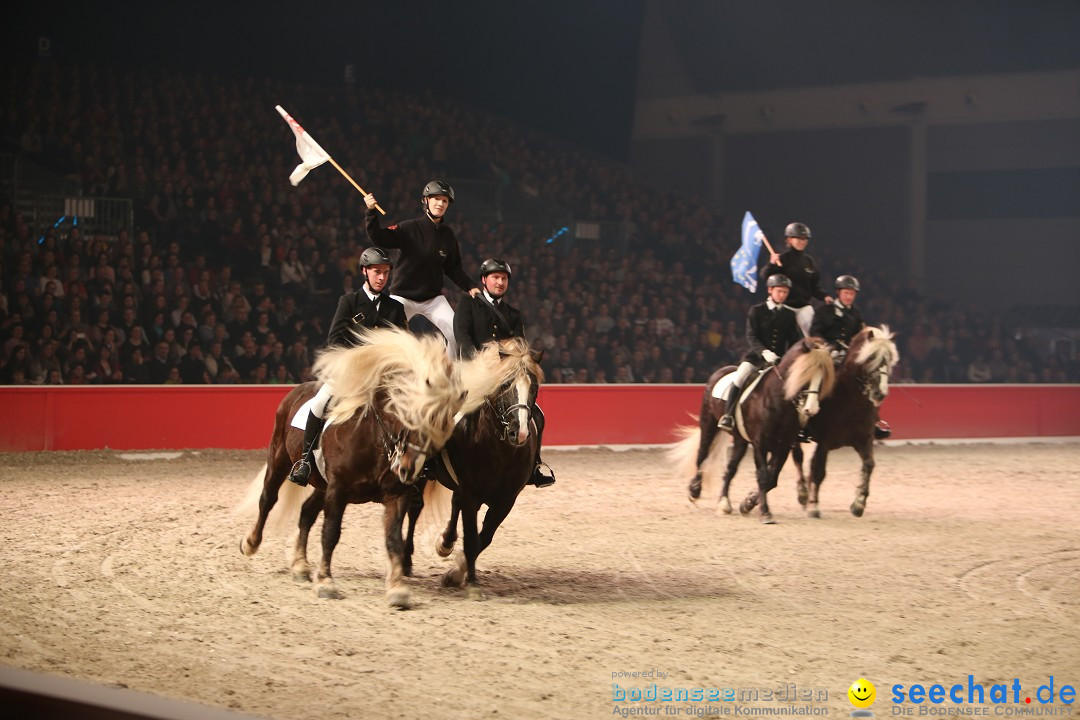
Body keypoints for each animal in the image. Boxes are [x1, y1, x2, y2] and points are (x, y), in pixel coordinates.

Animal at [237, 328, 464, 608]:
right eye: (410, 415)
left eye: (446, 425)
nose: (409, 470)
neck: (375, 436)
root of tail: (296, 391)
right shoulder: (339, 489)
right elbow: (331, 533)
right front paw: (325, 583)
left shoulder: (395, 494)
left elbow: (394, 539)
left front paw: (398, 589)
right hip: (279, 459)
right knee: (268, 500)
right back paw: (251, 543)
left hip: (321, 485)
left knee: (306, 512)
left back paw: (300, 566)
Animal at [669, 338, 838, 524]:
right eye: (804, 373)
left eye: (823, 378)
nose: (811, 409)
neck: (777, 400)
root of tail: (720, 371)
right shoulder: (760, 444)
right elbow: (763, 476)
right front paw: (764, 513)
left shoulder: (783, 446)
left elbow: (772, 478)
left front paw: (748, 504)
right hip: (709, 423)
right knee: (702, 454)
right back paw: (695, 491)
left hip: (740, 440)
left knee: (731, 468)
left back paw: (724, 503)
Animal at [790, 325, 898, 518]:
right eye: (871, 357)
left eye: (889, 359)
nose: (880, 393)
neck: (851, 400)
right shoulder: (823, 441)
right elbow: (818, 471)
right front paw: (813, 506)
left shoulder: (864, 439)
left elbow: (869, 465)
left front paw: (859, 504)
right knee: (798, 457)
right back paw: (802, 494)